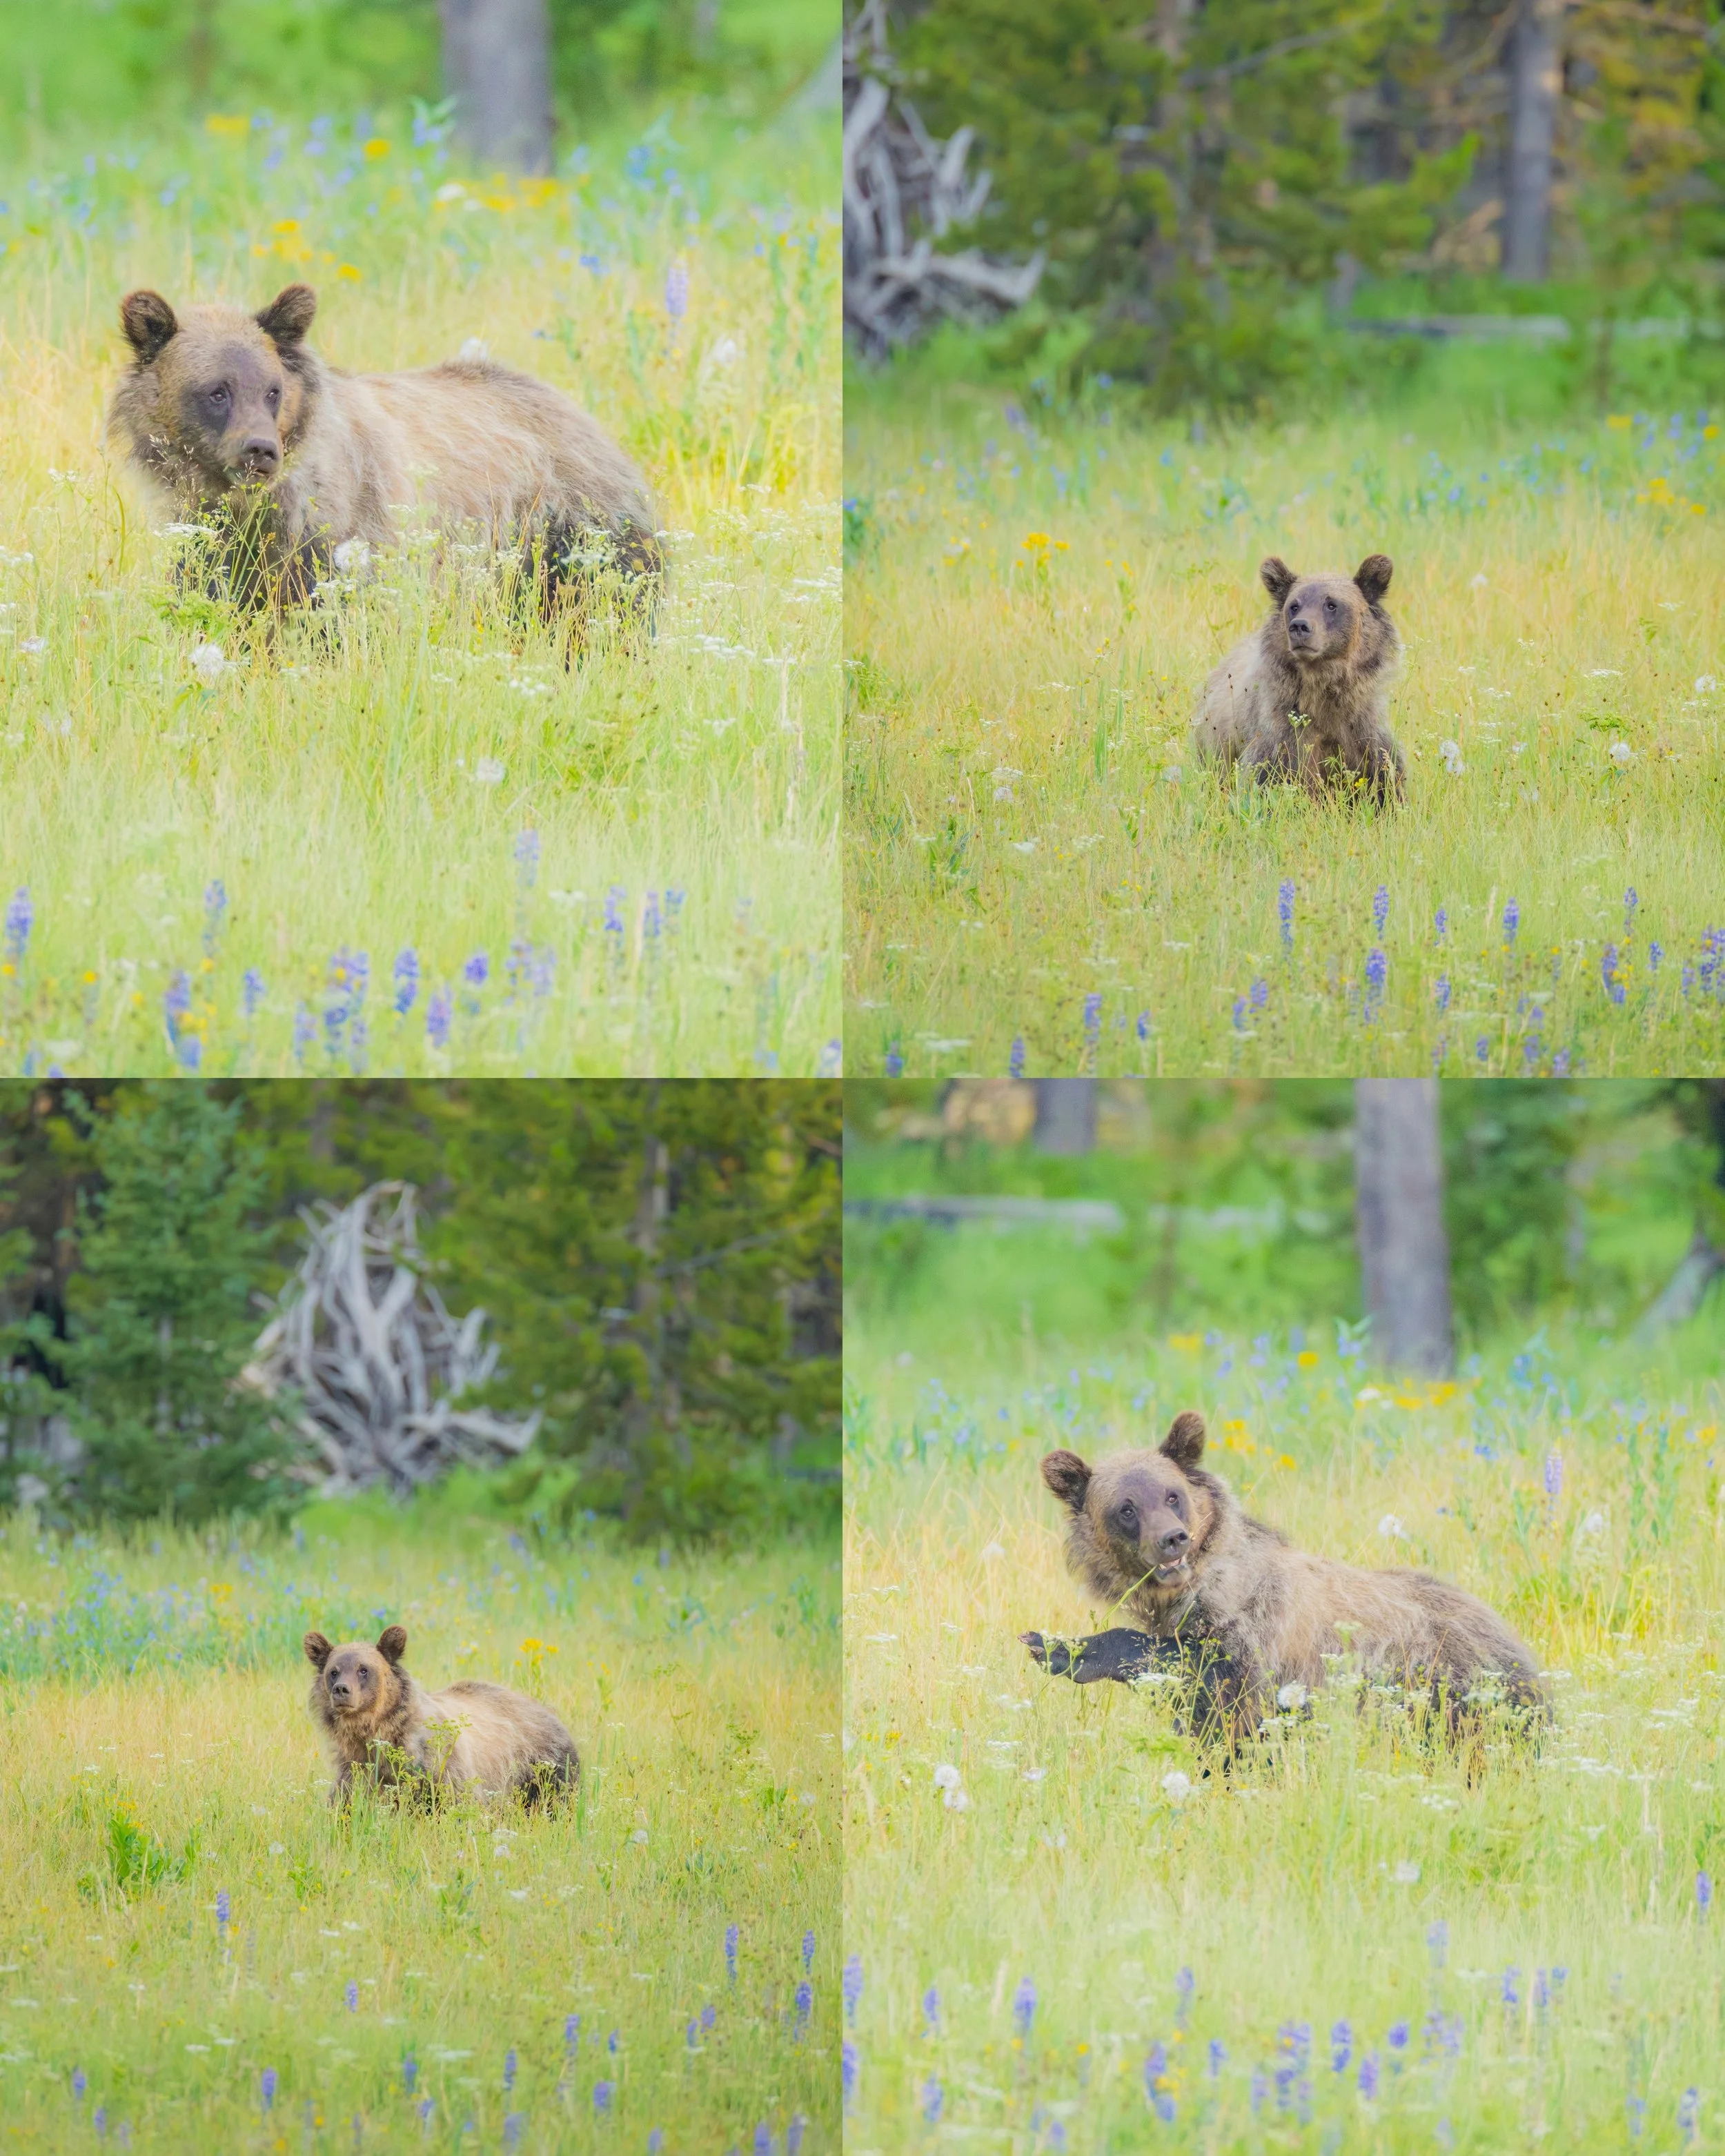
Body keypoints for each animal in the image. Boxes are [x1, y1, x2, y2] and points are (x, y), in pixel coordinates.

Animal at [107, 283, 661, 625]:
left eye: (271, 390)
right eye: (217, 391)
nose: (260, 450)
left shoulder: (346, 534)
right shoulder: (213, 546)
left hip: (571, 534)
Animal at [303, 1625, 579, 1809]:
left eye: (363, 1670)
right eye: (334, 1671)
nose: (342, 1690)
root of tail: (543, 1708)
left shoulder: (439, 1763)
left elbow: (459, 1802)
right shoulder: (356, 1767)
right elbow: (345, 1804)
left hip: (543, 1766)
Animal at [1020, 1411, 1546, 1756]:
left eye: (1172, 1494)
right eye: (1126, 1508)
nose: (1172, 1539)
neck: (1189, 1595)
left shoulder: (1261, 1634)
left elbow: (1212, 1677)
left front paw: (1057, 1647)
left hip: (1451, 1681)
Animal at [1192, 555, 1405, 805]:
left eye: (1331, 604)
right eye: (1294, 606)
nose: (1300, 626)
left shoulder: (1362, 727)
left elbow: (1383, 776)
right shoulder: (1284, 728)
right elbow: (1274, 775)